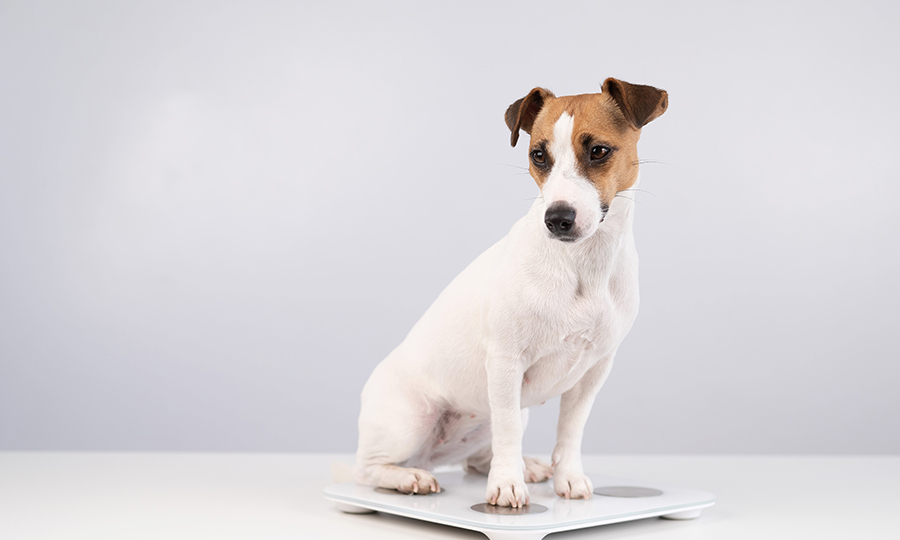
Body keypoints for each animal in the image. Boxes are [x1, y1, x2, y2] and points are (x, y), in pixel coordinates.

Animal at [352, 79, 668, 506]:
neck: (581, 265)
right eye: (539, 155)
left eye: (599, 151)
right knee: (368, 469)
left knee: (475, 458)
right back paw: (409, 477)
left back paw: (524, 465)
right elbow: (507, 433)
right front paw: (505, 484)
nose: (557, 218)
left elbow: (570, 431)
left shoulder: (593, 371)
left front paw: (567, 477)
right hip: (410, 420)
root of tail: (431, 456)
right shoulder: (505, 362)